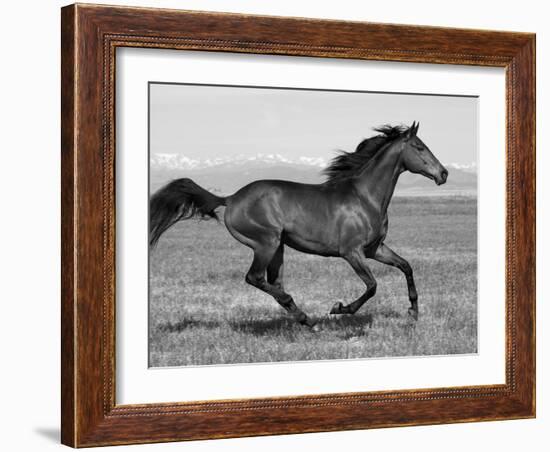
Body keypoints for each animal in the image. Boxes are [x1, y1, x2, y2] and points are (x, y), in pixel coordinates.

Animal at [150, 122, 448, 328]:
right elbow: (372, 286)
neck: (365, 197)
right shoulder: (351, 252)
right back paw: (308, 319)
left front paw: (413, 312)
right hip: (266, 243)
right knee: (255, 278)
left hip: (278, 247)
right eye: (419, 147)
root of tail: (231, 198)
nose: (443, 173)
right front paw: (339, 308)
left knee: (273, 282)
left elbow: (406, 266)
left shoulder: (376, 249)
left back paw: (303, 319)